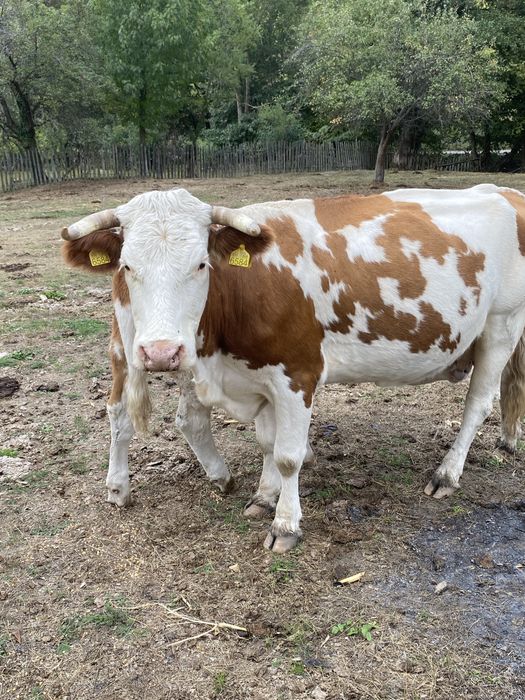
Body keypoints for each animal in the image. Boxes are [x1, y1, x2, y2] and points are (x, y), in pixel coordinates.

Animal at [61, 183, 525, 552]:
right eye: (127, 266)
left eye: (200, 264)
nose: (161, 352)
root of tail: (504, 190)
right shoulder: (258, 376)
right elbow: (267, 443)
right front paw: (264, 497)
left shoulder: (297, 375)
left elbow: (287, 455)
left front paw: (285, 524)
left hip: (501, 325)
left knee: (478, 404)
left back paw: (447, 474)